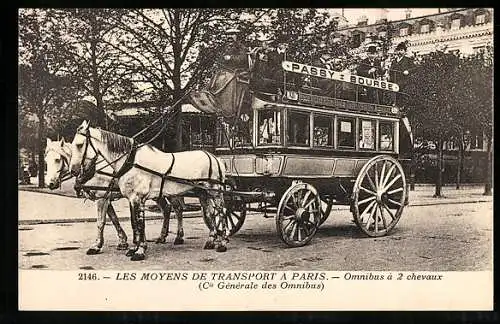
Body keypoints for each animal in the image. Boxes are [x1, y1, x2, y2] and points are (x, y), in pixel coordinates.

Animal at [45, 137, 185, 253]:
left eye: (57, 159)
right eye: (46, 160)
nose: (50, 183)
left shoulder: (101, 198)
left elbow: (101, 222)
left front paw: (97, 245)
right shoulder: (106, 198)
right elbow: (114, 219)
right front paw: (123, 241)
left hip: (171, 192)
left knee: (177, 209)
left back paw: (179, 236)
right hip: (157, 194)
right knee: (166, 209)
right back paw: (162, 236)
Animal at [68, 121, 227, 260]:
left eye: (80, 145)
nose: (73, 170)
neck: (130, 162)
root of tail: (215, 157)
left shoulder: (130, 198)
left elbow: (137, 223)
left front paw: (139, 251)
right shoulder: (130, 199)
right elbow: (133, 223)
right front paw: (133, 248)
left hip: (215, 192)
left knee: (221, 213)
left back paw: (222, 243)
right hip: (202, 193)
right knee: (207, 213)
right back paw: (210, 240)